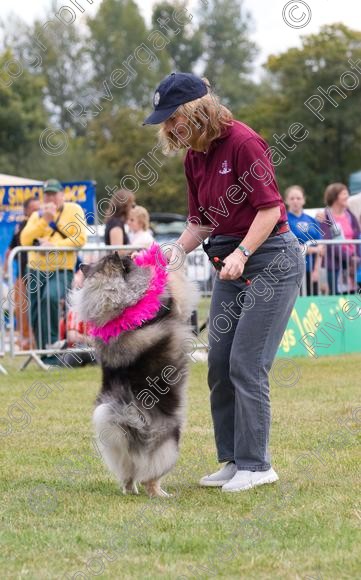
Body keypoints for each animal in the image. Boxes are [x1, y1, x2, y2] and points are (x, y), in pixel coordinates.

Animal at [71, 245, 198, 498]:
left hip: (118, 448)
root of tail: (128, 420)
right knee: (151, 475)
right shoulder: (173, 305)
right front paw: (164, 262)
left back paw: (131, 490)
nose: (129, 254)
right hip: (170, 442)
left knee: (128, 473)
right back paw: (160, 494)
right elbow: (174, 284)